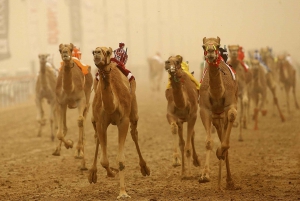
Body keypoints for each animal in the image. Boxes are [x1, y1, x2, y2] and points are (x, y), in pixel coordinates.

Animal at [88, 46, 150, 199]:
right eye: (93, 51)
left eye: (107, 52)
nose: (97, 53)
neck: (112, 105)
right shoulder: (100, 122)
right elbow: (104, 160)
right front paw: (111, 172)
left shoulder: (123, 121)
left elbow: (121, 160)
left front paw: (123, 193)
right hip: (93, 119)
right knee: (97, 137)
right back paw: (92, 173)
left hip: (134, 112)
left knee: (134, 133)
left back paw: (145, 168)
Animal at [199, 36, 239, 190]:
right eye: (203, 46)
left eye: (217, 45)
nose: (211, 51)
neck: (217, 93)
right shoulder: (205, 109)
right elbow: (208, 142)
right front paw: (204, 175)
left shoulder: (230, 104)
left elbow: (232, 116)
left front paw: (220, 151)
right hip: (217, 117)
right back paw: (225, 181)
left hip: (223, 115)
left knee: (224, 137)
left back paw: (229, 181)